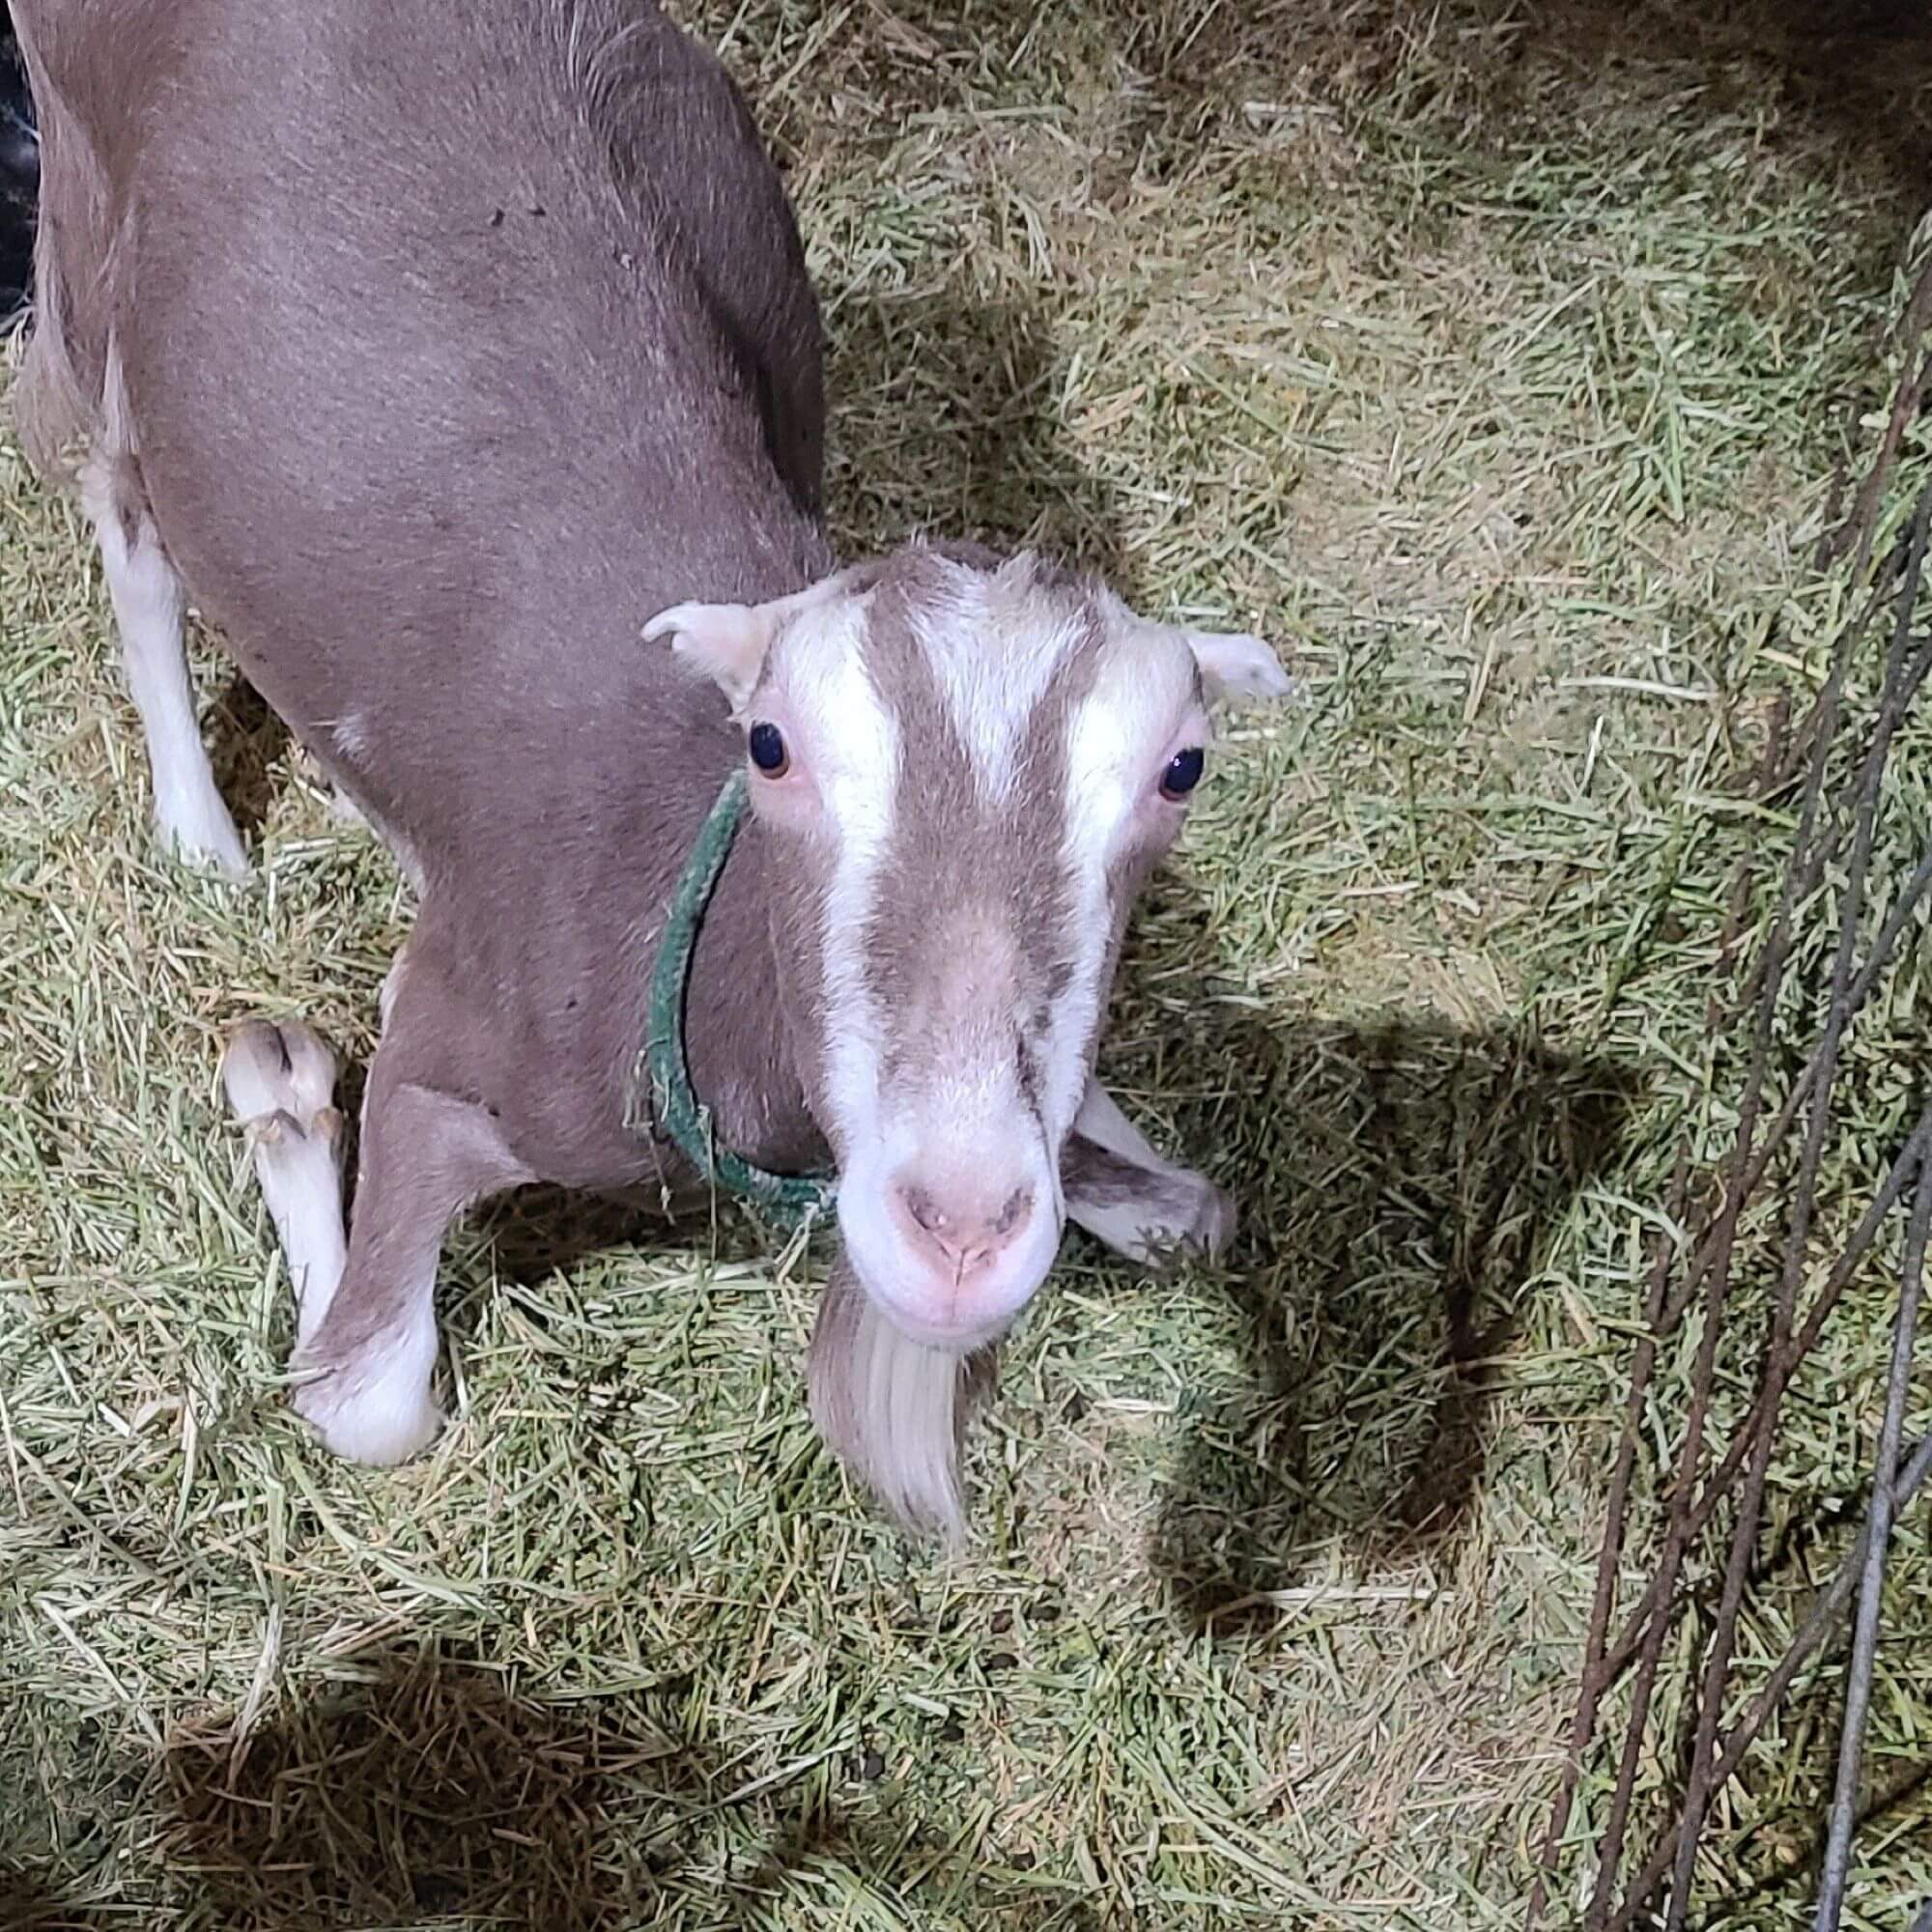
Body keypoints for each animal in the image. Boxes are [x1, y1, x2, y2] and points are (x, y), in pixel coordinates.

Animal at [11, 0, 1290, 1540]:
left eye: (1180, 770)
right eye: (773, 746)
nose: (959, 1230)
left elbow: (1192, 1214)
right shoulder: (451, 1040)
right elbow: (362, 1397)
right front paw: (287, 1095)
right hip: (86, 222)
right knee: (128, 519)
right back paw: (200, 835)